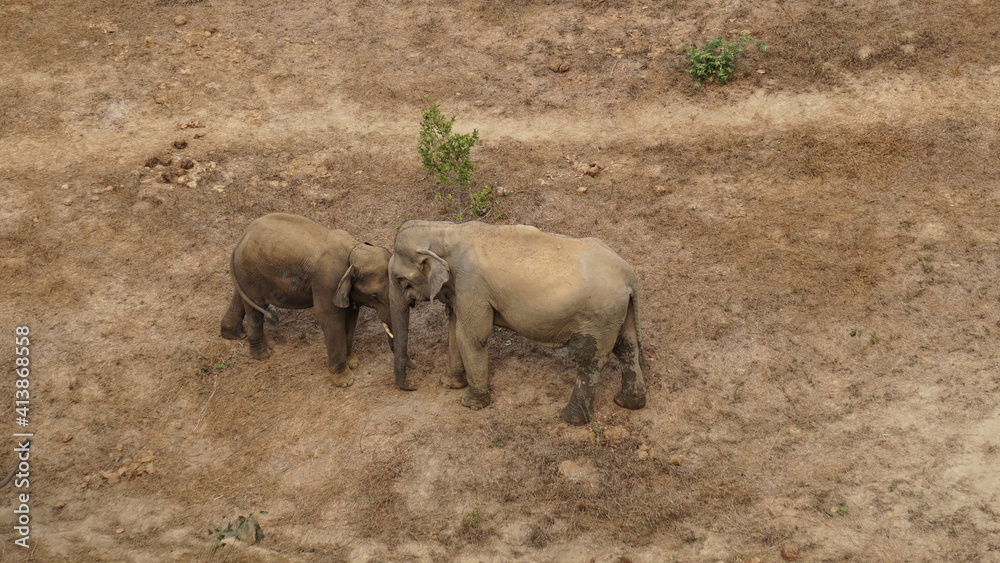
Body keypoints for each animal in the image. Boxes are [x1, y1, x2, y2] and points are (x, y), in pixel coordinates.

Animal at [220, 213, 394, 387]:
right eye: (374, 296)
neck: (353, 250)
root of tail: (242, 237)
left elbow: (351, 316)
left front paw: (353, 363)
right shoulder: (327, 281)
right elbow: (330, 318)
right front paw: (345, 382)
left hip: (246, 272)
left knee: (242, 298)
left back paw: (234, 335)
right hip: (249, 270)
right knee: (256, 308)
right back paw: (263, 355)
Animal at [388, 220, 647, 425]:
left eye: (401, 280)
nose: (413, 385)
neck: (445, 230)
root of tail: (630, 276)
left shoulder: (472, 284)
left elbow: (472, 337)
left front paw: (471, 404)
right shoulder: (461, 290)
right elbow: (454, 331)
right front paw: (449, 385)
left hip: (599, 314)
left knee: (589, 359)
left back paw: (570, 419)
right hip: (619, 311)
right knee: (627, 348)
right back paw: (627, 403)